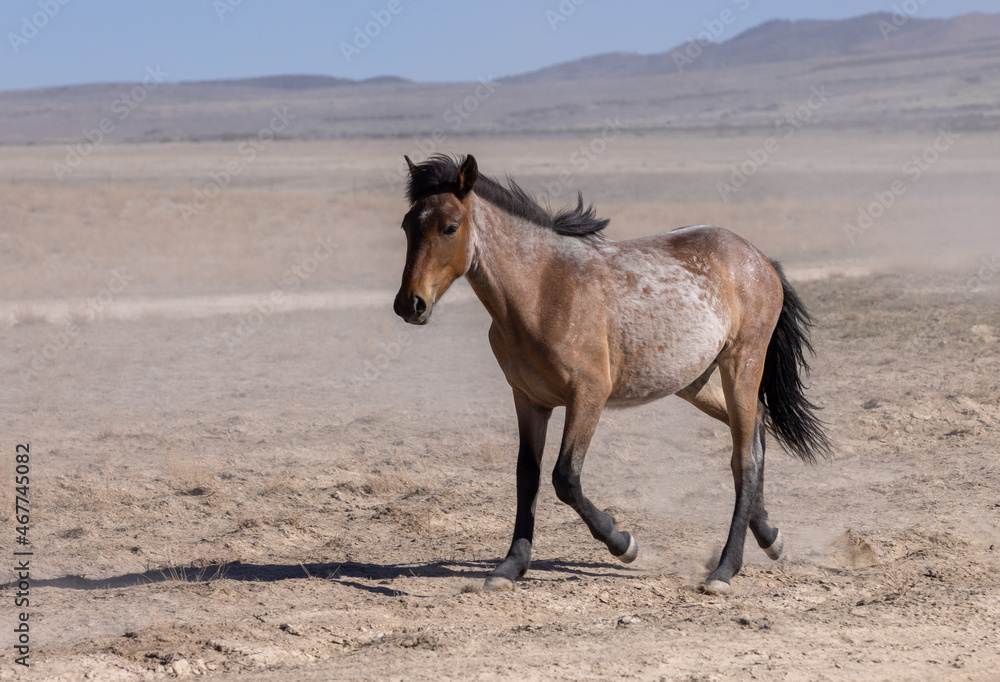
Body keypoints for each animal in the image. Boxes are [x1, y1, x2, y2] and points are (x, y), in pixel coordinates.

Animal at [390, 153, 828, 588]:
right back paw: (769, 536)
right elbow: (527, 476)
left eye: (450, 227)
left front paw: (623, 543)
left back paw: (724, 569)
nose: (410, 304)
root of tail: (757, 257)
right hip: (695, 381)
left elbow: (565, 478)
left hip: (742, 364)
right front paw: (510, 566)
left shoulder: (588, 396)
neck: (541, 290)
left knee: (744, 458)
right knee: (756, 429)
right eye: (407, 224)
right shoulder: (529, 401)